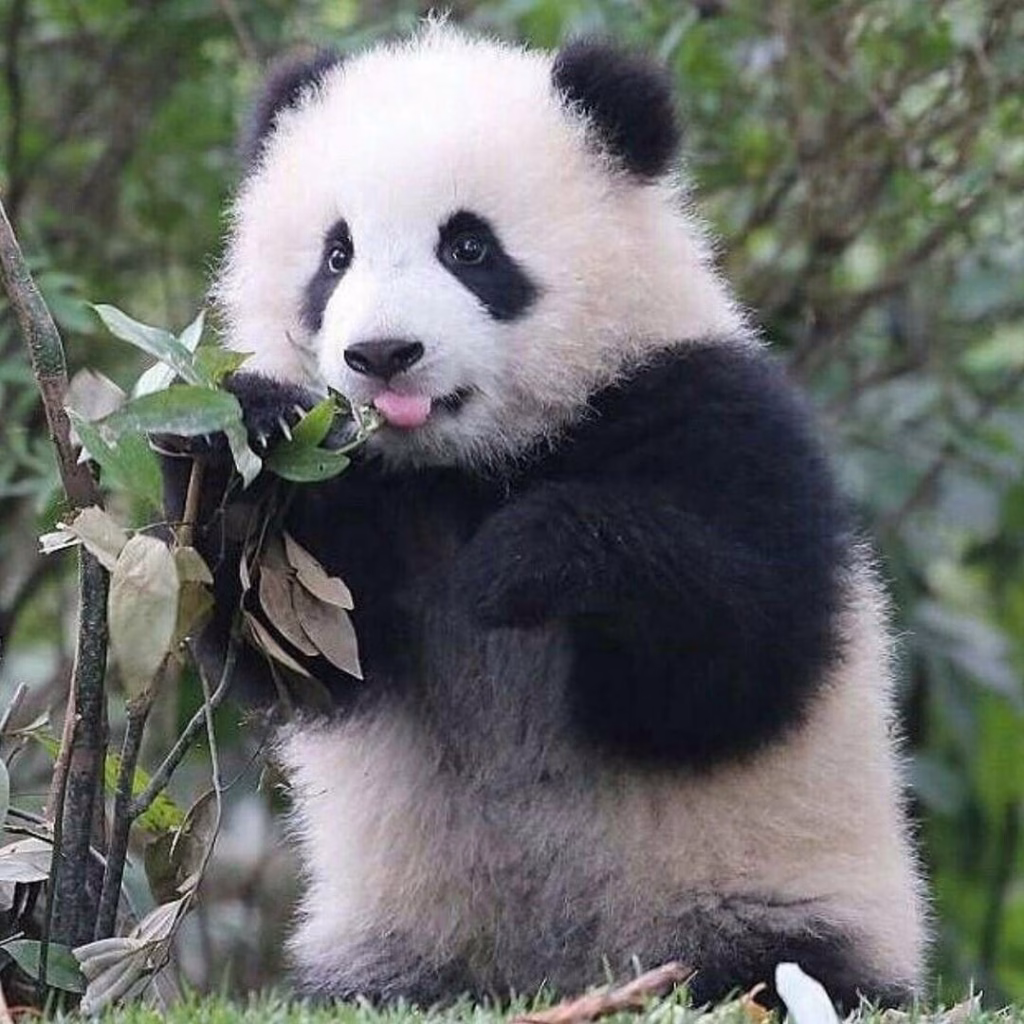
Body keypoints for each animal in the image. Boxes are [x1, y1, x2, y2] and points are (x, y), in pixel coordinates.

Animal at [165, 21, 927, 1010]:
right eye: (336, 255)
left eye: (469, 248)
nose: (383, 354)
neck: (465, 464)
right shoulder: (369, 495)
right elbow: (312, 646)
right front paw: (238, 441)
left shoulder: (705, 405)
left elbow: (737, 659)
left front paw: (524, 561)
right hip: (401, 934)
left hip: (760, 896)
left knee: (776, 967)